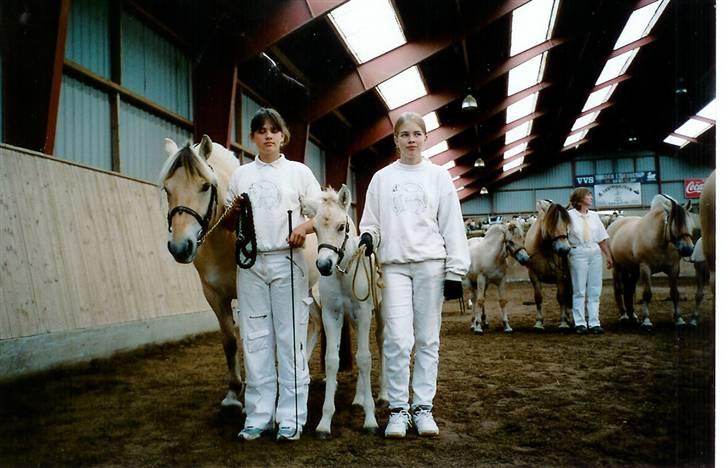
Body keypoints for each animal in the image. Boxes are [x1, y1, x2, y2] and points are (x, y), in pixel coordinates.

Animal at [300, 186, 384, 438]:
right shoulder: (332, 315)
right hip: (353, 320)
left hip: (378, 313)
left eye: (341, 226)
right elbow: (331, 361)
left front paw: (370, 420)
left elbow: (365, 359)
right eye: (315, 229)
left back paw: (383, 396)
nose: (324, 265)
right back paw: (358, 398)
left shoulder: (364, 314)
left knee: (380, 344)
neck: (343, 275)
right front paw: (324, 423)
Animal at [524, 199, 576, 330]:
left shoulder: (560, 275)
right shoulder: (534, 275)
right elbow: (538, 297)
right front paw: (539, 323)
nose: (564, 249)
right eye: (550, 225)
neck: (545, 249)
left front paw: (563, 322)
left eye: (566, 224)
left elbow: (561, 297)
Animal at [608, 193, 692, 330]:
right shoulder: (645, 268)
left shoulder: (674, 269)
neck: (660, 240)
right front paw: (647, 321)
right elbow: (647, 294)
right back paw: (624, 316)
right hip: (617, 267)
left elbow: (675, 293)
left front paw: (679, 319)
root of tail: (614, 224)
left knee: (629, 290)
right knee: (619, 289)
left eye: (689, 222)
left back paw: (633, 316)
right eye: (675, 224)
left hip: (632, 270)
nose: (688, 249)